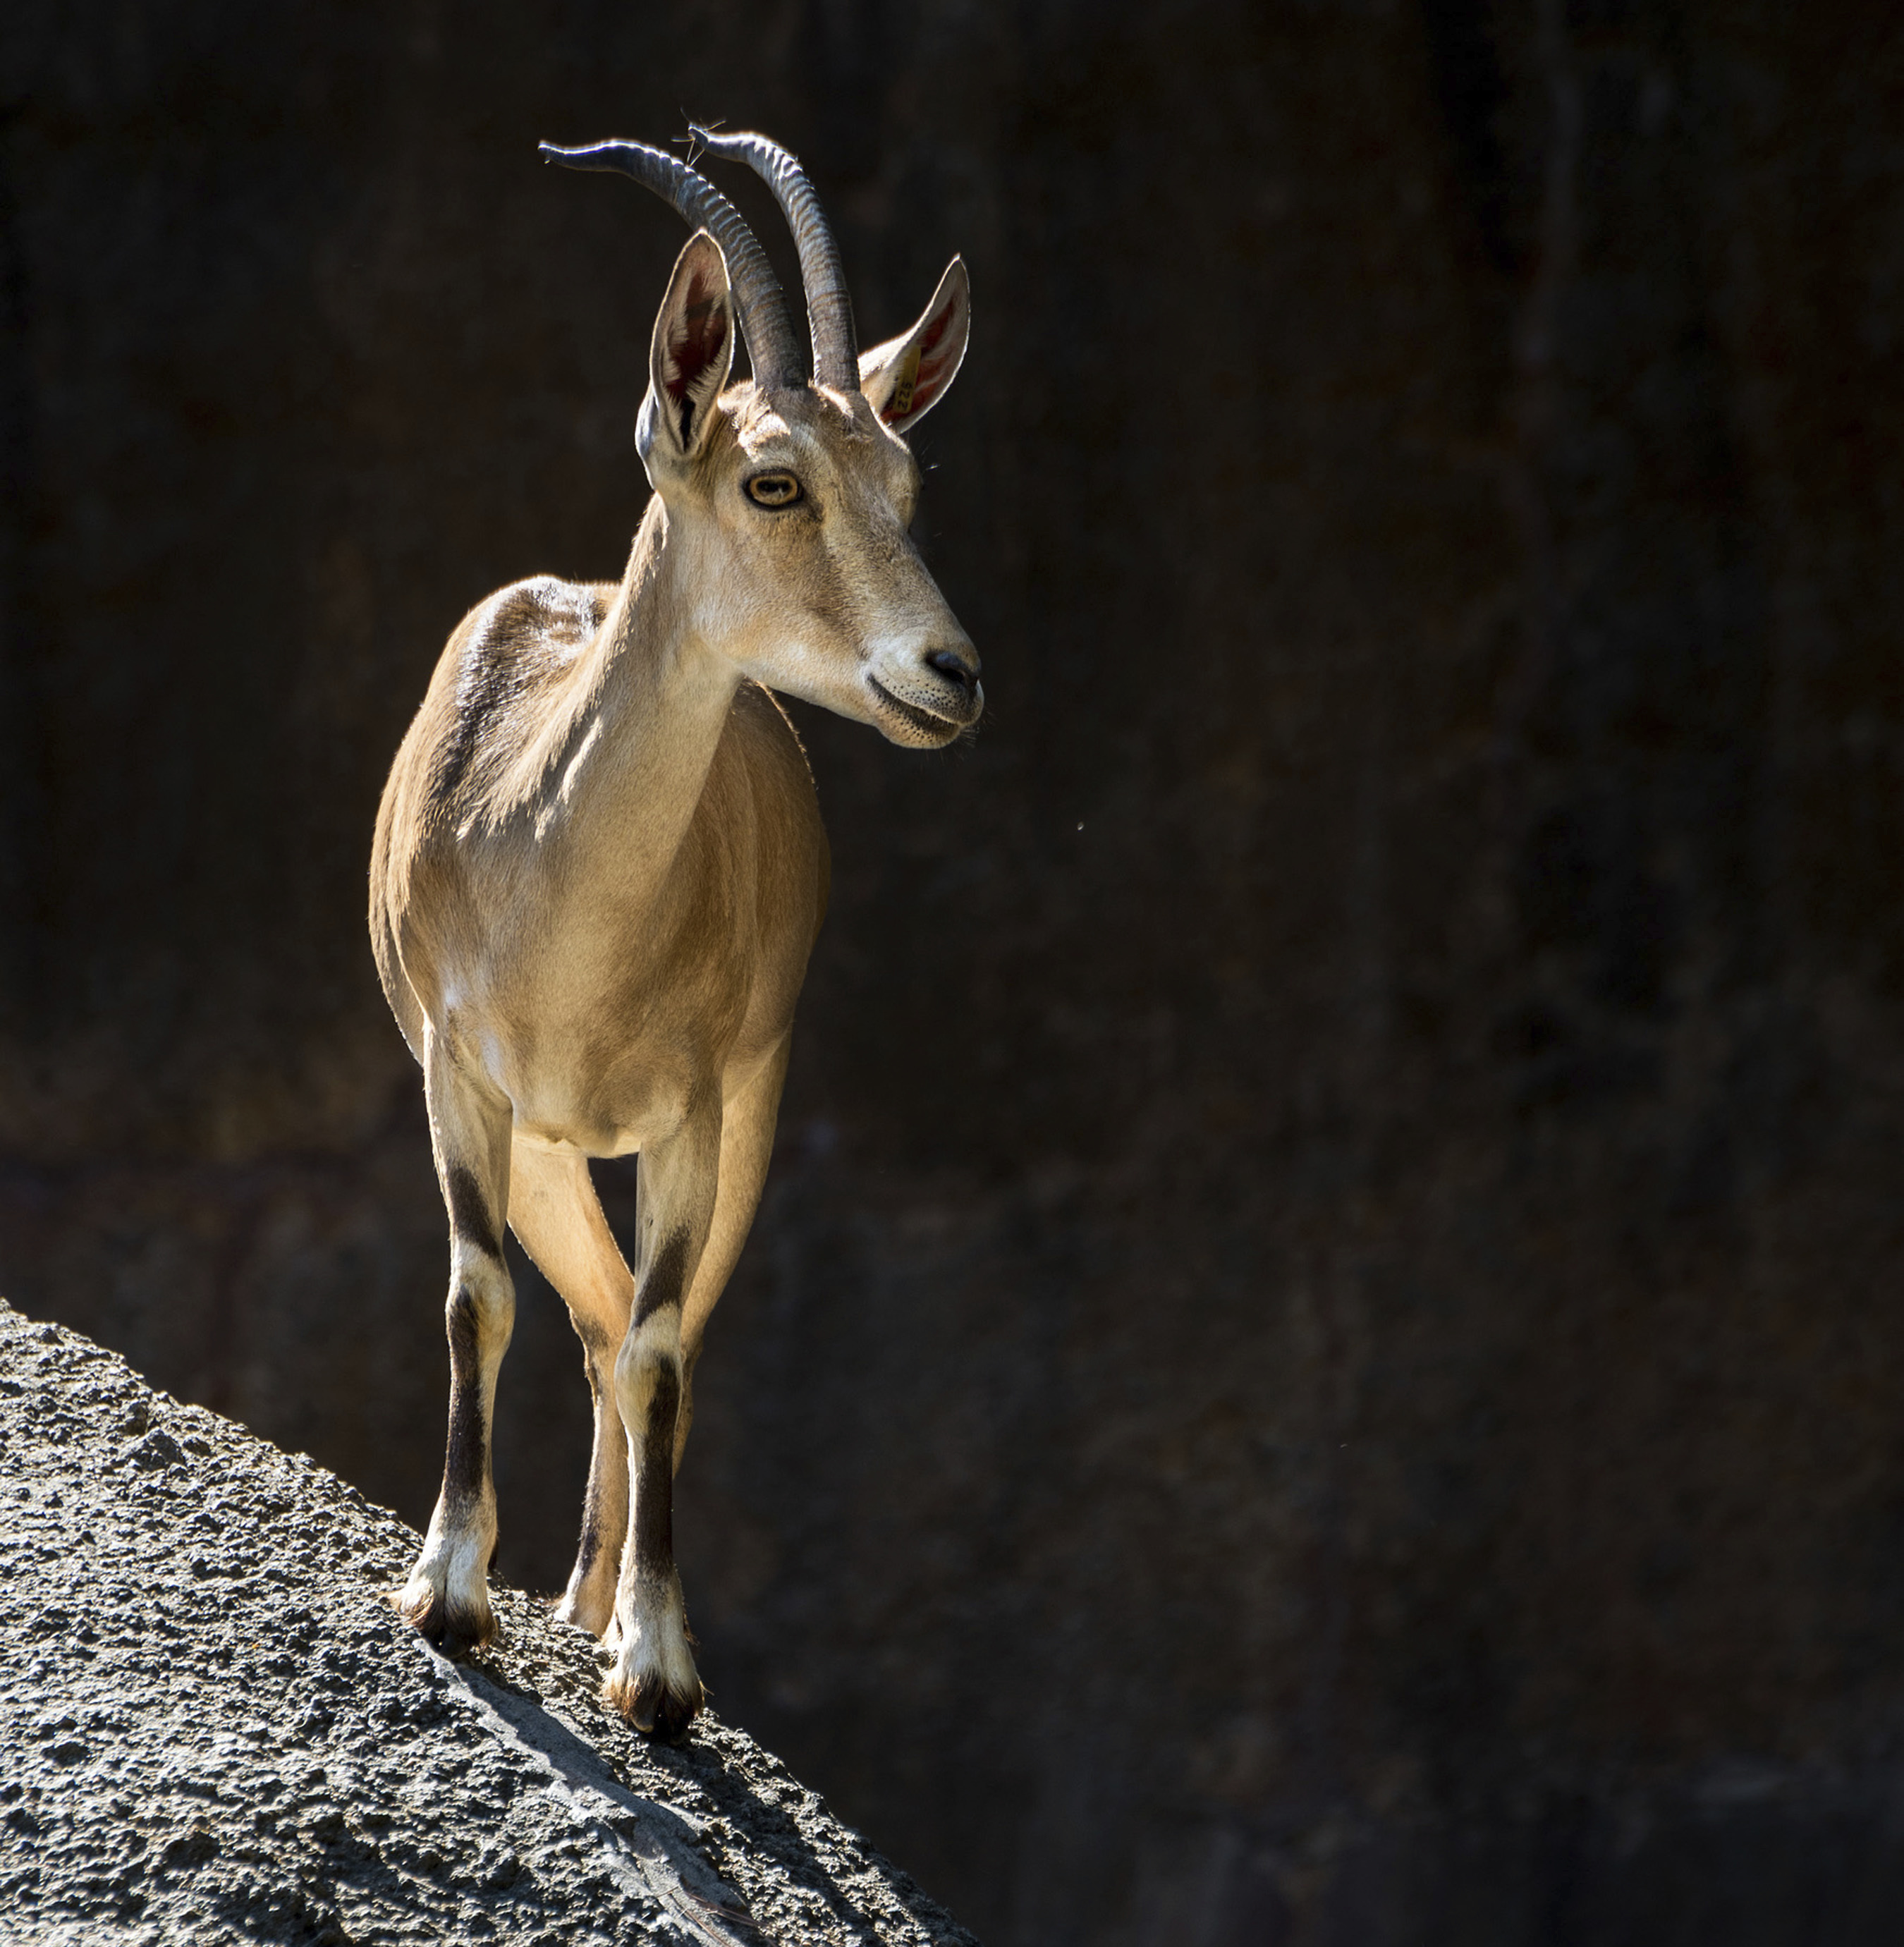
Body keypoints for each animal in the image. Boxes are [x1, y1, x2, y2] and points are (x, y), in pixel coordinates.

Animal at [368, 128, 976, 1736]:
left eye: (902, 478)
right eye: (773, 480)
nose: (950, 672)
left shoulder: (700, 1110)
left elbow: (659, 1353)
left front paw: (656, 1665)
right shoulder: (460, 1080)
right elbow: (477, 1296)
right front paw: (448, 1593)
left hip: (717, 1119)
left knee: (650, 1338)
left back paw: (609, 1608)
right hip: (548, 1147)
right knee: (579, 1318)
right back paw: (568, 1595)